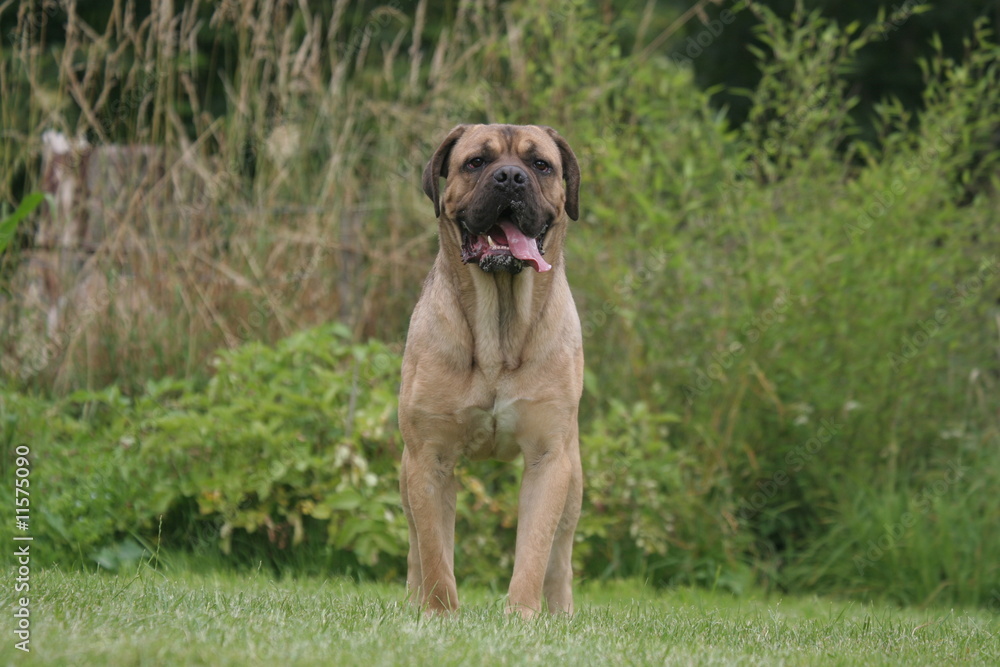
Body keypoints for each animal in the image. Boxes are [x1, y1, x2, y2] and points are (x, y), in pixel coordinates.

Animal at [398, 124, 584, 616]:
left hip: (575, 474)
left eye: (540, 165)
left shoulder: (548, 456)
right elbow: (435, 551)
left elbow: (535, 550)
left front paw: (522, 615)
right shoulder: (428, 457)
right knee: (415, 546)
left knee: (561, 555)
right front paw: (439, 613)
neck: (499, 326)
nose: (510, 178)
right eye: (476, 162)